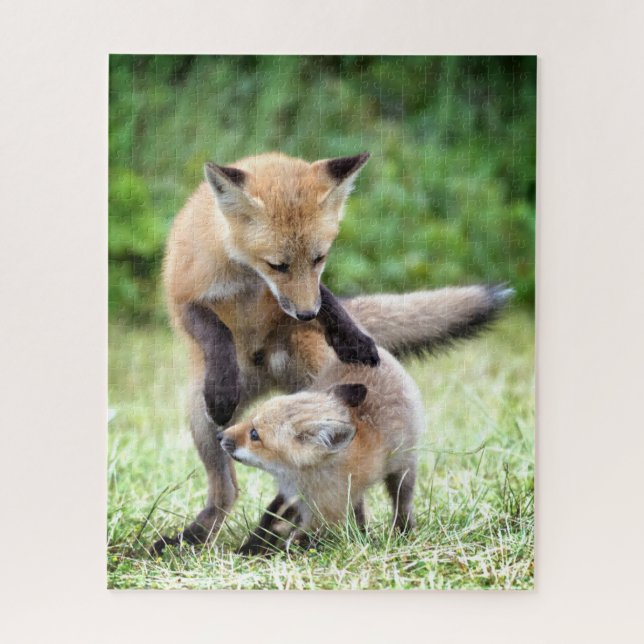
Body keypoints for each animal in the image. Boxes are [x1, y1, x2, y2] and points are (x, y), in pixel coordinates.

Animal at [219, 346, 425, 554]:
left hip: (403, 469)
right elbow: (268, 521)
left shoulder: (326, 514)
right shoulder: (291, 497)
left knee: (402, 501)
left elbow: (297, 542)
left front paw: (271, 554)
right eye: (248, 419)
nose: (220, 436)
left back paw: (402, 530)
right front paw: (248, 549)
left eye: (254, 434)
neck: (301, 478)